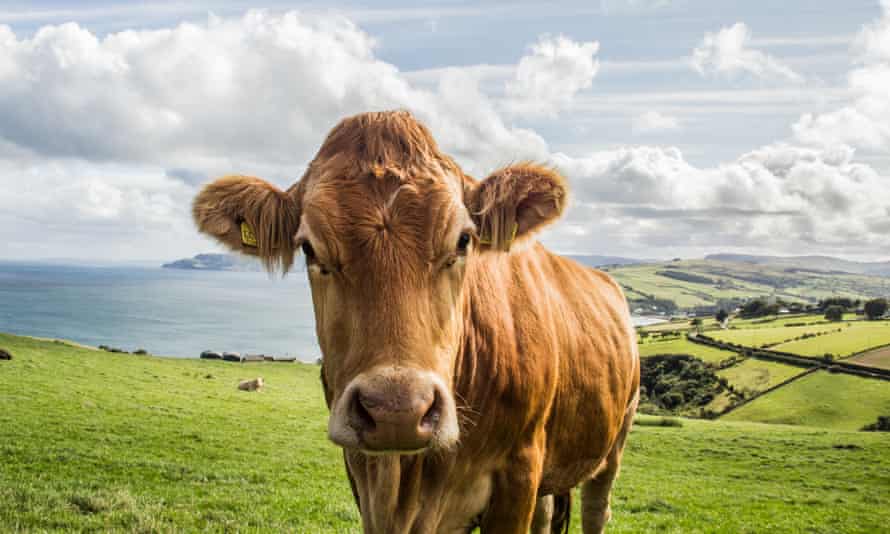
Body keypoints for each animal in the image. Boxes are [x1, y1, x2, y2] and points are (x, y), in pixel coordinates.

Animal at [193, 110, 639, 533]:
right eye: (309, 248)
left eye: (463, 240)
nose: (397, 410)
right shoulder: (362, 473)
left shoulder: (519, 470)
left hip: (616, 438)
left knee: (597, 508)